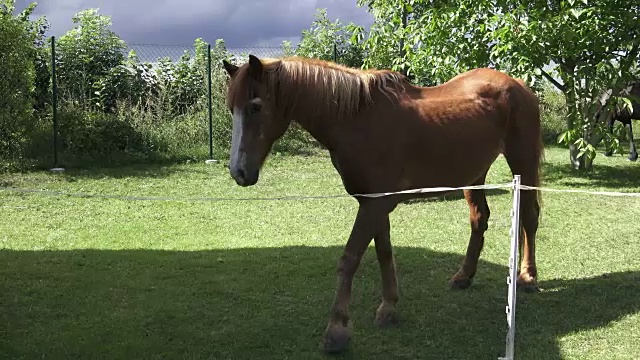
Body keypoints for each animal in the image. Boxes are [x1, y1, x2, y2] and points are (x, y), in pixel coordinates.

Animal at [222, 56, 544, 354]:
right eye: (231, 108)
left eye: (255, 107)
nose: (239, 172)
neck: (357, 119)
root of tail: (519, 85)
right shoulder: (374, 203)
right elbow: (384, 253)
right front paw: (388, 307)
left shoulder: (374, 206)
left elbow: (350, 259)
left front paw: (336, 330)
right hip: (474, 174)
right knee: (480, 218)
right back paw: (464, 276)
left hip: (523, 163)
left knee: (529, 218)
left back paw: (527, 276)